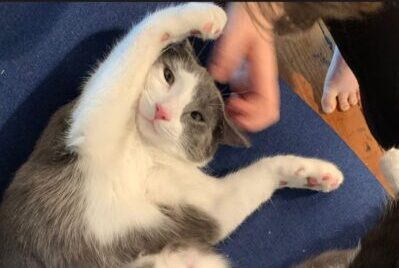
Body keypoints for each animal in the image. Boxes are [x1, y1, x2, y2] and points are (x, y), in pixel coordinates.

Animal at [0, 2, 344, 268]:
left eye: (196, 116)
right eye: (168, 76)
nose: (163, 111)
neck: (142, 151)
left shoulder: (203, 206)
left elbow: (250, 182)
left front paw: (316, 173)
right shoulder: (89, 126)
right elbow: (139, 40)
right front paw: (203, 15)